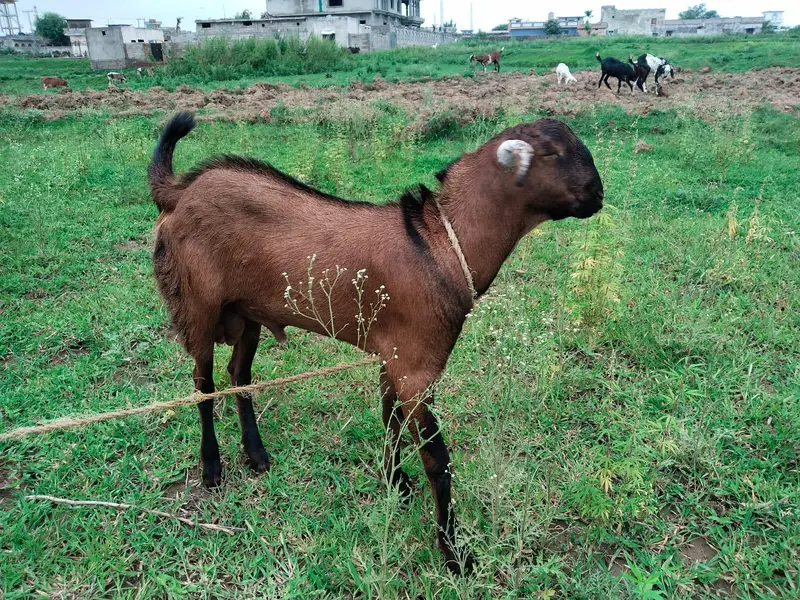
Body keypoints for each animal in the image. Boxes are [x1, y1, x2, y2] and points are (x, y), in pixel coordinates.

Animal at [149, 112, 604, 575]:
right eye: (553, 153)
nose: (598, 195)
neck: (439, 245)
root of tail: (180, 191)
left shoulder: (395, 355)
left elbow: (390, 419)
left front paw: (395, 482)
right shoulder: (417, 367)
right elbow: (437, 459)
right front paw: (454, 553)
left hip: (247, 312)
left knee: (239, 374)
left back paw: (256, 454)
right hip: (198, 307)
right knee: (203, 384)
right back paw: (212, 467)